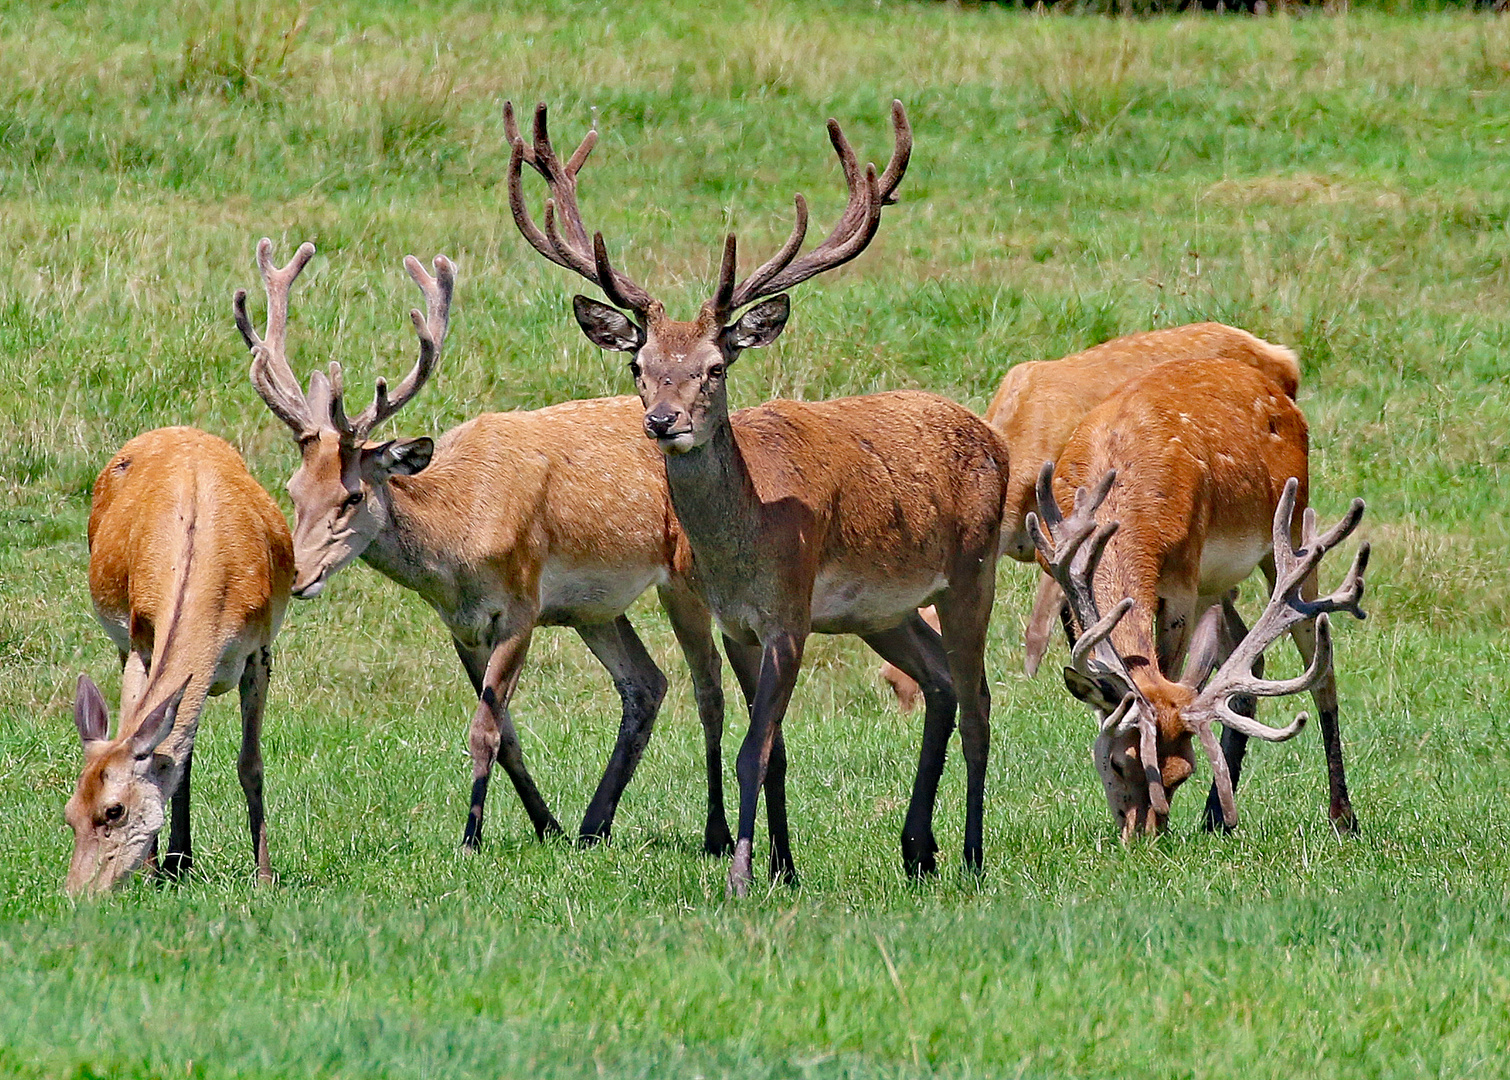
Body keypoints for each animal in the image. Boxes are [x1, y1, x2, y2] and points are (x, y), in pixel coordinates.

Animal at [64, 428, 294, 894]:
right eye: (69, 812)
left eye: (113, 811)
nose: (77, 892)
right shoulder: (140, 642)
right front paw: (156, 870)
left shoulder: (259, 651)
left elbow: (251, 764)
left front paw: (264, 876)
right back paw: (176, 861)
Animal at [238, 240, 739, 857]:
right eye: (292, 490)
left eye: (352, 496)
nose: (299, 574)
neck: (457, 546)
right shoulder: (462, 625)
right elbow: (508, 734)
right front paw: (546, 826)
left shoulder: (521, 606)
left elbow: (484, 731)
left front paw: (470, 838)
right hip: (594, 609)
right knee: (647, 684)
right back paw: (592, 825)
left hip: (684, 572)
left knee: (707, 683)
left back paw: (715, 833)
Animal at [507, 98, 1014, 894]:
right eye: (639, 366)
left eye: (714, 367)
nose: (664, 421)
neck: (746, 548)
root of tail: (994, 437)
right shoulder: (737, 624)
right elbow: (771, 747)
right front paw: (782, 866)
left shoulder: (788, 615)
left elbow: (754, 746)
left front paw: (743, 876)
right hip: (884, 610)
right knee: (938, 683)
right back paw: (916, 848)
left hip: (974, 570)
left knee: (980, 702)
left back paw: (969, 855)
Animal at [1026, 359, 1371, 839]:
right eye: (1117, 763)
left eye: (1180, 775)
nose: (1144, 836)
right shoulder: (1056, 572)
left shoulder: (1182, 584)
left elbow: (1166, 670)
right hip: (1218, 584)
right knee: (1251, 659)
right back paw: (1215, 816)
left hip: (1292, 533)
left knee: (1322, 663)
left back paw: (1342, 815)